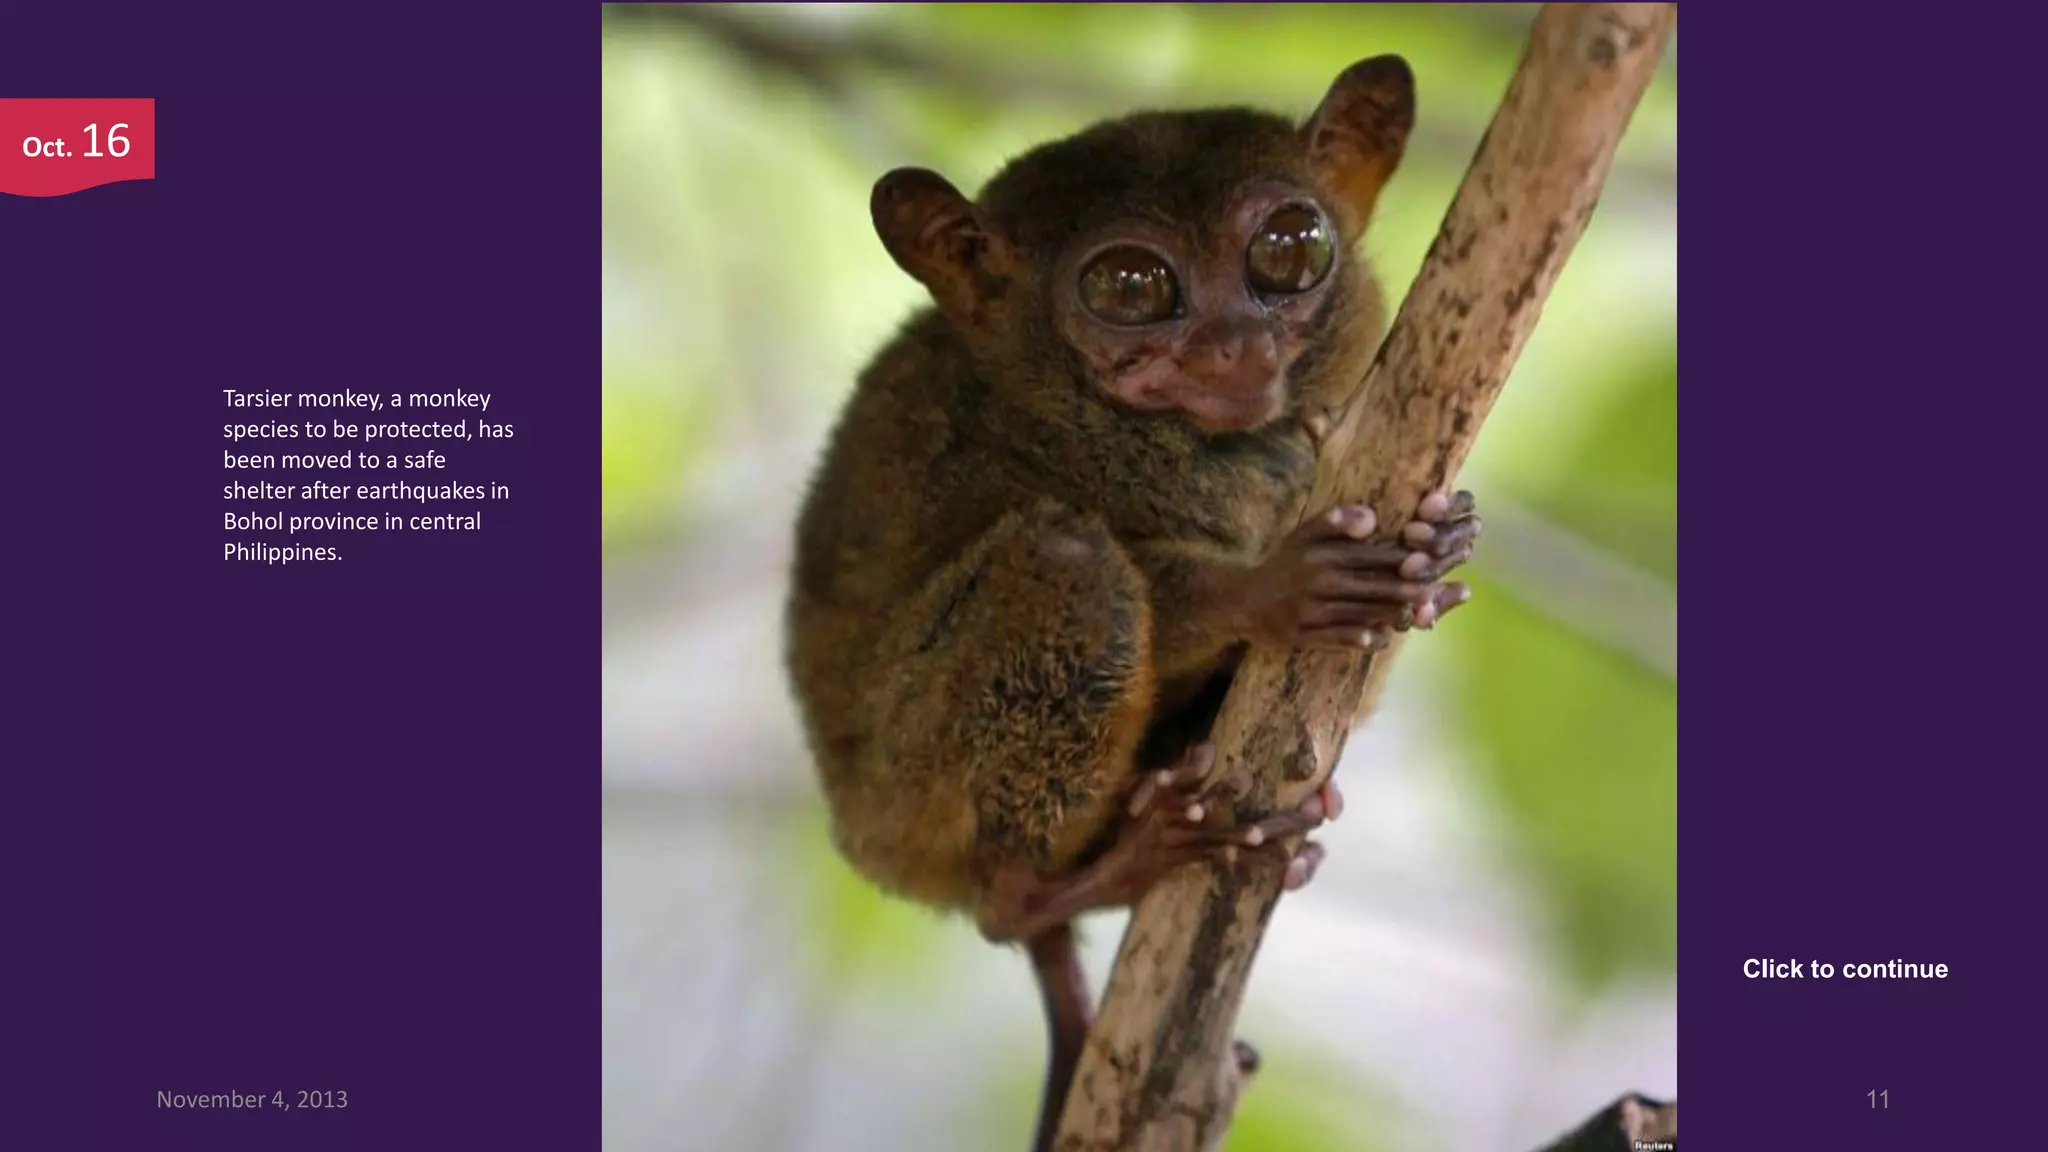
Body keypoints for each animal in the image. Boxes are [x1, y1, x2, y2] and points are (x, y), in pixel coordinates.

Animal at [784, 55, 1480, 1152]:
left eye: (1288, 251)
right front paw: (1278, 589)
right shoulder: (992, 461)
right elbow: (1146, 571)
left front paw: (1441, 546)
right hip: (907, 792)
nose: (1235, 346)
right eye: (1129, 288)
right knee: (1067, 565)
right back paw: (1101, 868)